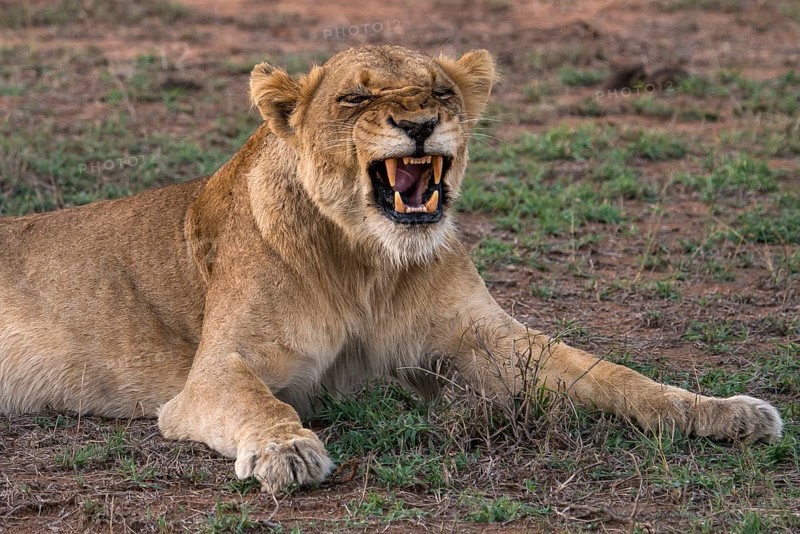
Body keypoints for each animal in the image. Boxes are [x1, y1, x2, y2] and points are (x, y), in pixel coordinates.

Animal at [0, 45, 783, 493]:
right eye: (357, 98)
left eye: (440, 93)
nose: (418, 125)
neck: (368, 261)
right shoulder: (212, 373)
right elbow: (258, 400)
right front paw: (289, 450)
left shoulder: (487, 340)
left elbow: (613, 375)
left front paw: (722, 411)